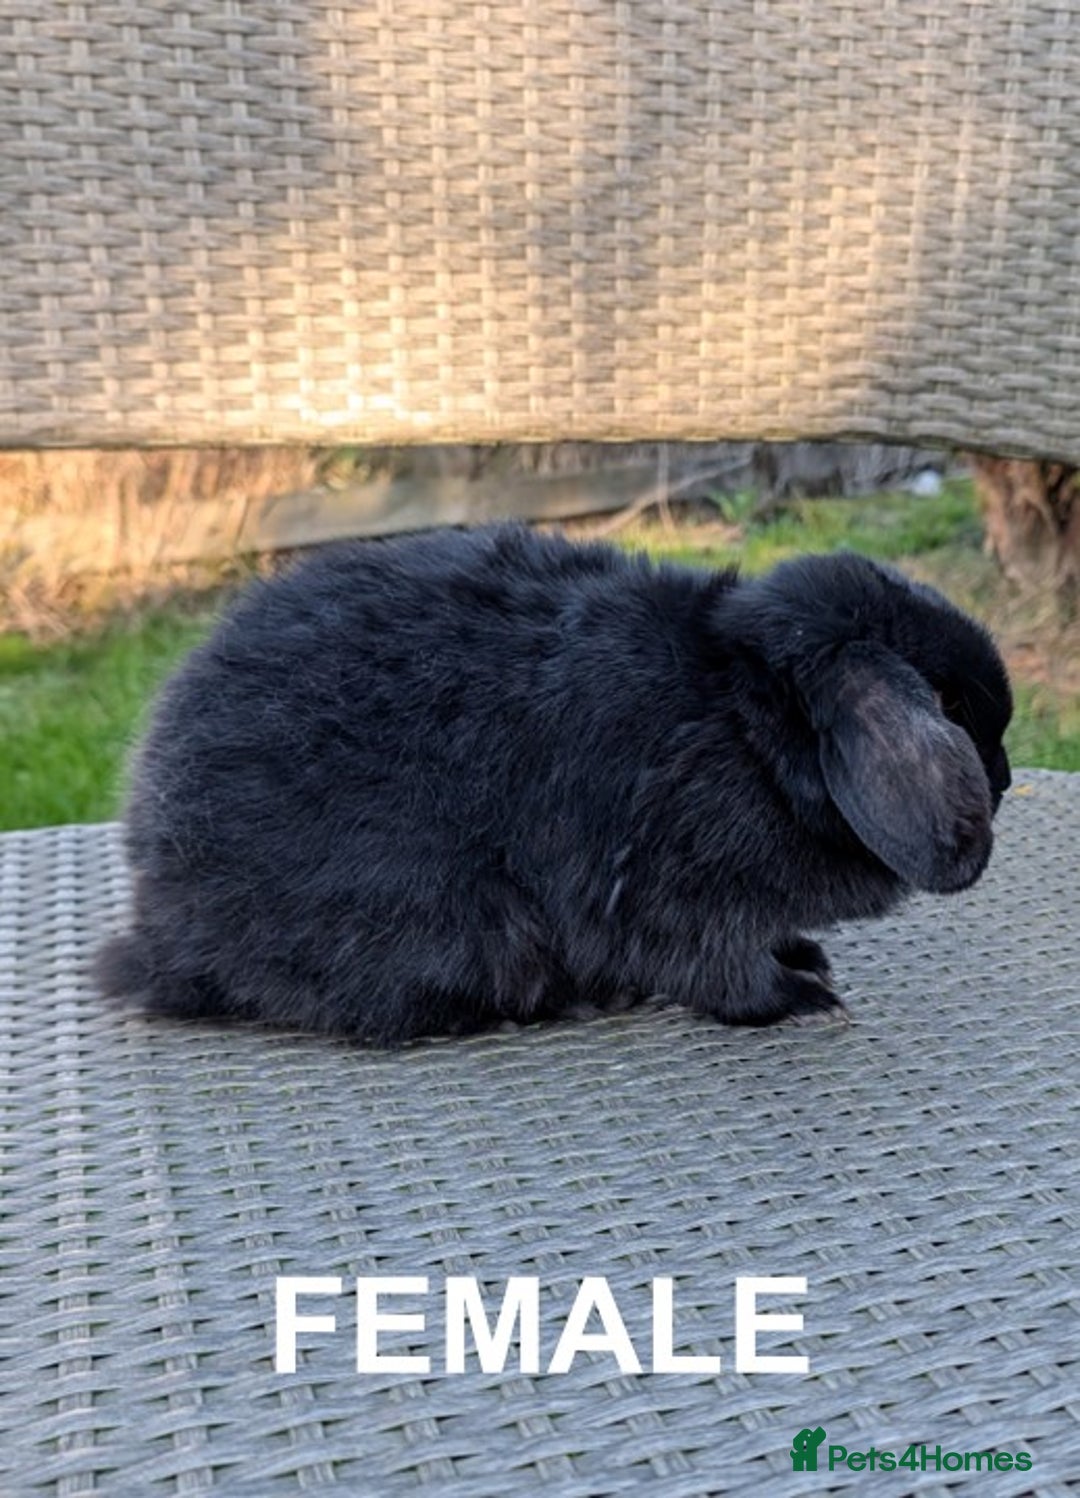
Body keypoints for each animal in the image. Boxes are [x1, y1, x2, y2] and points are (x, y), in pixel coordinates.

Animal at [95, 523, 1013, 1043]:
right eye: (952, 706)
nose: (1002, 780)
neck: (746, 719)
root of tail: (159, 930)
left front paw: (804, 954)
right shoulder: (672, 894)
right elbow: (720, 973)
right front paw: (800, 998)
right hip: (453, 926)